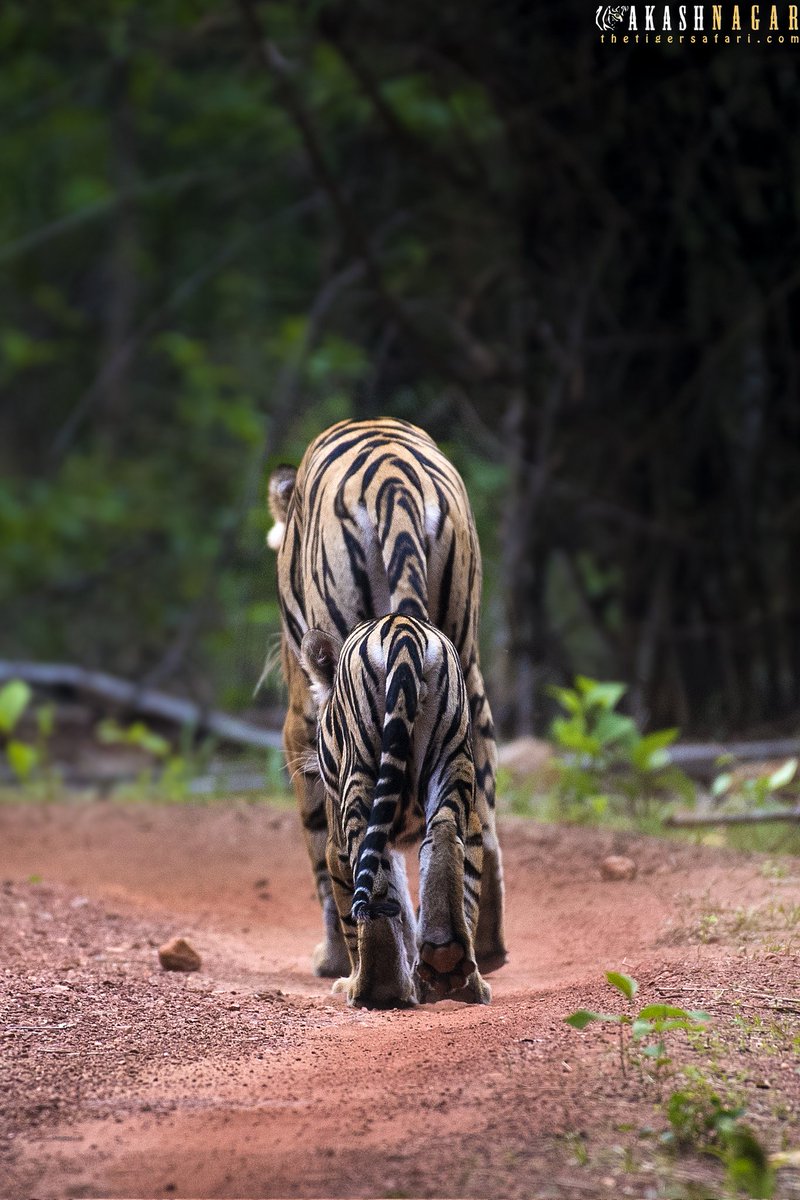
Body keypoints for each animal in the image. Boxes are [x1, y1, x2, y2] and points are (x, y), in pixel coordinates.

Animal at [300, 612, 491, 1008]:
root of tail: (402, 630)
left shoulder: (335, 846)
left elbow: (357, 909)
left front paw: (360, 979)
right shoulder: (473, 825)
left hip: (360, 780)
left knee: (366, 874)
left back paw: (374, 988)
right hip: (452, 763)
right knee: (444, 839)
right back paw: (450, 961)